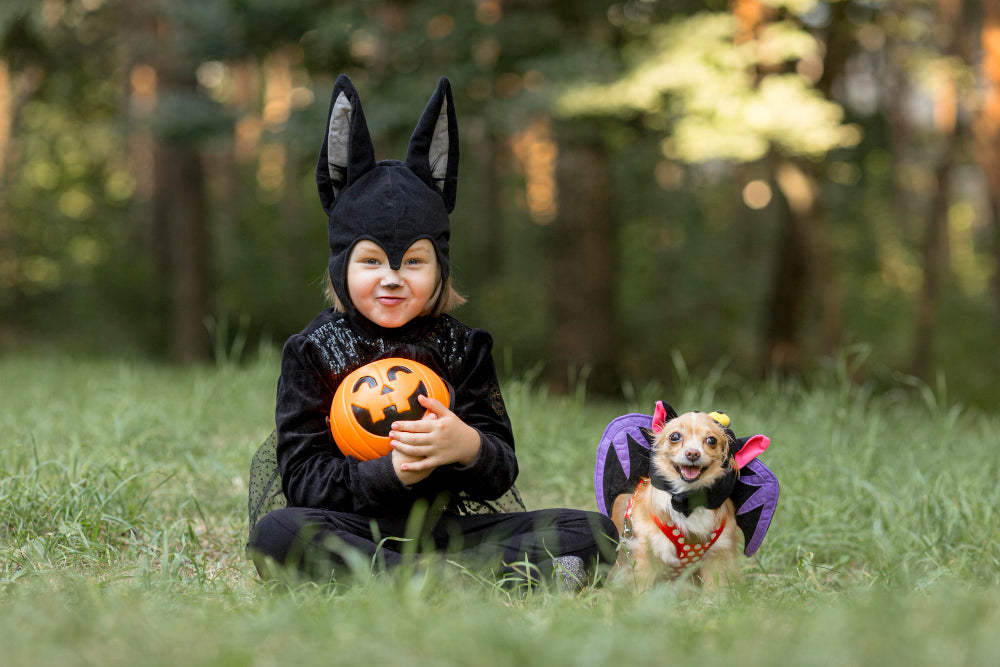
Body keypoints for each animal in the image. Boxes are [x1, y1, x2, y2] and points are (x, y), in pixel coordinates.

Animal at [608, 412, 744, 588]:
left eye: (711, 440)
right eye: (675, 437)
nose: (692, 453)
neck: (688, 498)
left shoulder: (718, 554)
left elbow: (715, 588)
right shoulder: (647, 553)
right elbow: (641, 589)